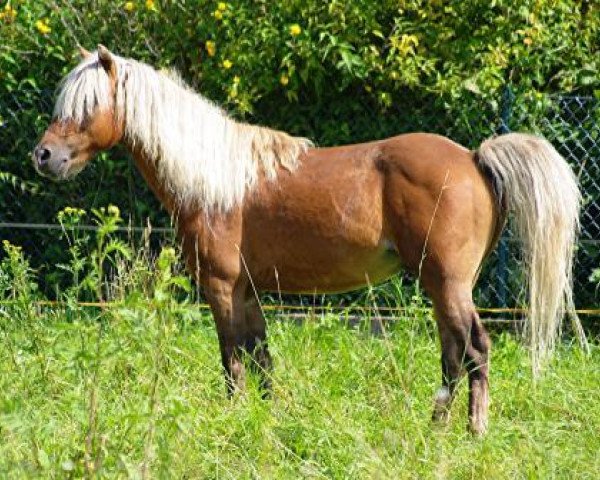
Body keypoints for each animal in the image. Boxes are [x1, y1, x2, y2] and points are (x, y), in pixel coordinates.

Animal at [30, 46, 584, 436]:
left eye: (89, 105)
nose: (44, 156)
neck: (215, 180)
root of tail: (473, 158)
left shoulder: (221, 287)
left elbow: (232, 358)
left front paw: (233, 418)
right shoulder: (248, 290)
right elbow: (261, 356)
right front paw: (266, 418)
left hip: (447, 283)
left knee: (475, 349)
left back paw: (474, 431)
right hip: (441, 286)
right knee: (452, 353)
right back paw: (438, 426)